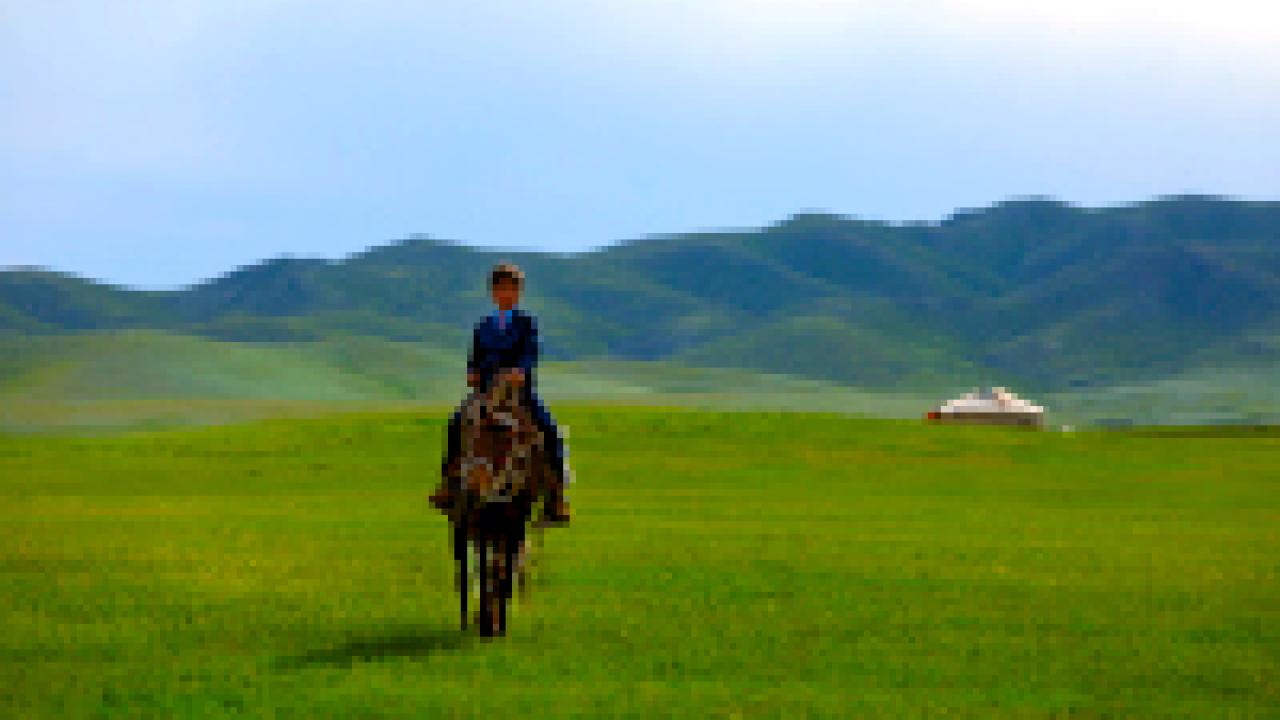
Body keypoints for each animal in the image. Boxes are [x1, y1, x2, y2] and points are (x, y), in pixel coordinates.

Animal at [448, 368, 552, 632]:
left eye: (507, 441)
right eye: (471, 434)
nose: (473, 489)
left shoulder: (514, 522)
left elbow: (503, 566)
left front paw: (497, 620)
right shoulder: (481, 522)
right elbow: (485, 565)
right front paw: (485, 619)